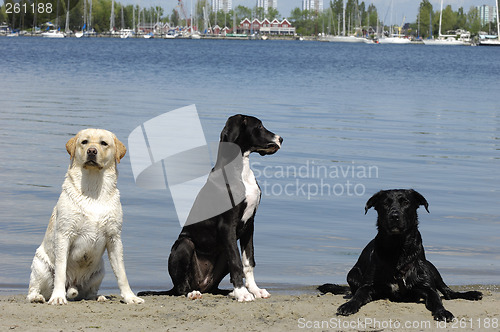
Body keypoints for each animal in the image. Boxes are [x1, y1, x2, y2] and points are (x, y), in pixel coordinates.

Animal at [27, 128, 144, 304]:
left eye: (103, 143)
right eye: (84, 142)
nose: (92, 151)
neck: (93, 191)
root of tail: (73, 284)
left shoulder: (114, 238)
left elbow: (122, 274)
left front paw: (130, 297)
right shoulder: (64, 235)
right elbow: (60, 271)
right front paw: (58, 297)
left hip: (100, 271)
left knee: (88, 292)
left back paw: (98, 296)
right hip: (40, 266)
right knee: (34, 288)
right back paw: (37, 297)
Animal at [139, 115, 284, 302]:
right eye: (259, 126)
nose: (281, 139)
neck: (241, 170)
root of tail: (201, 284)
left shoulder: (249, 225)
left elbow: (248, 261)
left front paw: (254, 290)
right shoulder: (227, 226)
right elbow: (237, 262)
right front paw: (243, 293)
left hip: (221, 254)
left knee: (215, 285)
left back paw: (228, 291)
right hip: (184, 244)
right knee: (181, 286)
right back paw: (192, 292)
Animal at [318, 189, 482, 322]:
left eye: (406, 202)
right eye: (385, 203)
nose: (394, 215)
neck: (397, 248)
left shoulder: (428, 288)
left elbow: (437, 300)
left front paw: (443, 312)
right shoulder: (367, 286)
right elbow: (358, 295)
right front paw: (349, 305)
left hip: (432, 268)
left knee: (449, 293)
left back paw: (471, 294)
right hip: (352, 274)